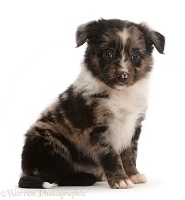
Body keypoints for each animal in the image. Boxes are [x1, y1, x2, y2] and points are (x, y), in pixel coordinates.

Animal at [18, 18, 165, 189]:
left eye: (135, 56)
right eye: (107, 54)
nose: (122, 75)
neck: (120, 93)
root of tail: (26, 171)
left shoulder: (134, 126)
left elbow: (130, 153)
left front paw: (133, 174)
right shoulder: (99, 129)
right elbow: (111, 156)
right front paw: (120, 179)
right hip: (47, 142)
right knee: (54, 174)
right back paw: (83, 178)